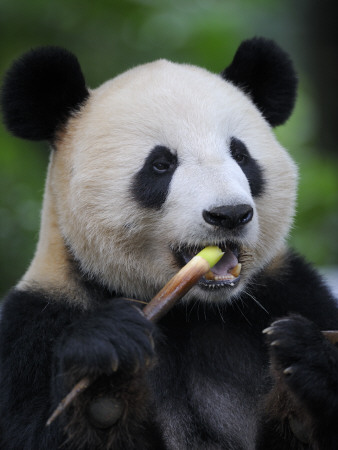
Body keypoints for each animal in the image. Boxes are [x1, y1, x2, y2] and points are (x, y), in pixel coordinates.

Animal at [0, 38, 338, 450]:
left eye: (241, 155)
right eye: (161, 165)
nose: (230, 214)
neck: (191, 309)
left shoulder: (291, 291)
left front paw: (304, 361)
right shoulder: (34, 325)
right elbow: (32, 427)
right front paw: (104, 368)